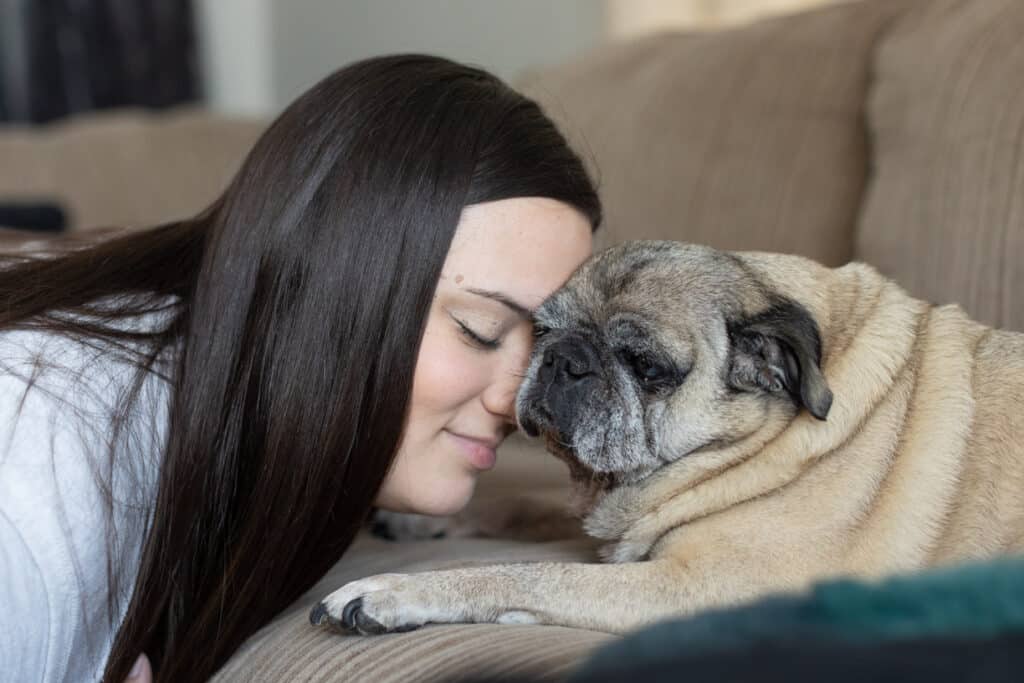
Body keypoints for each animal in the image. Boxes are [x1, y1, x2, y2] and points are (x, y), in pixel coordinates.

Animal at [311, 240, 1024, 634]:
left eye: (646, 367)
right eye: (541, 332)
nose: (565, 359)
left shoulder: (700, 587)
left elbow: (531, 576)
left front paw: (398, 592)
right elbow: (526, 507)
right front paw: (423, 524)